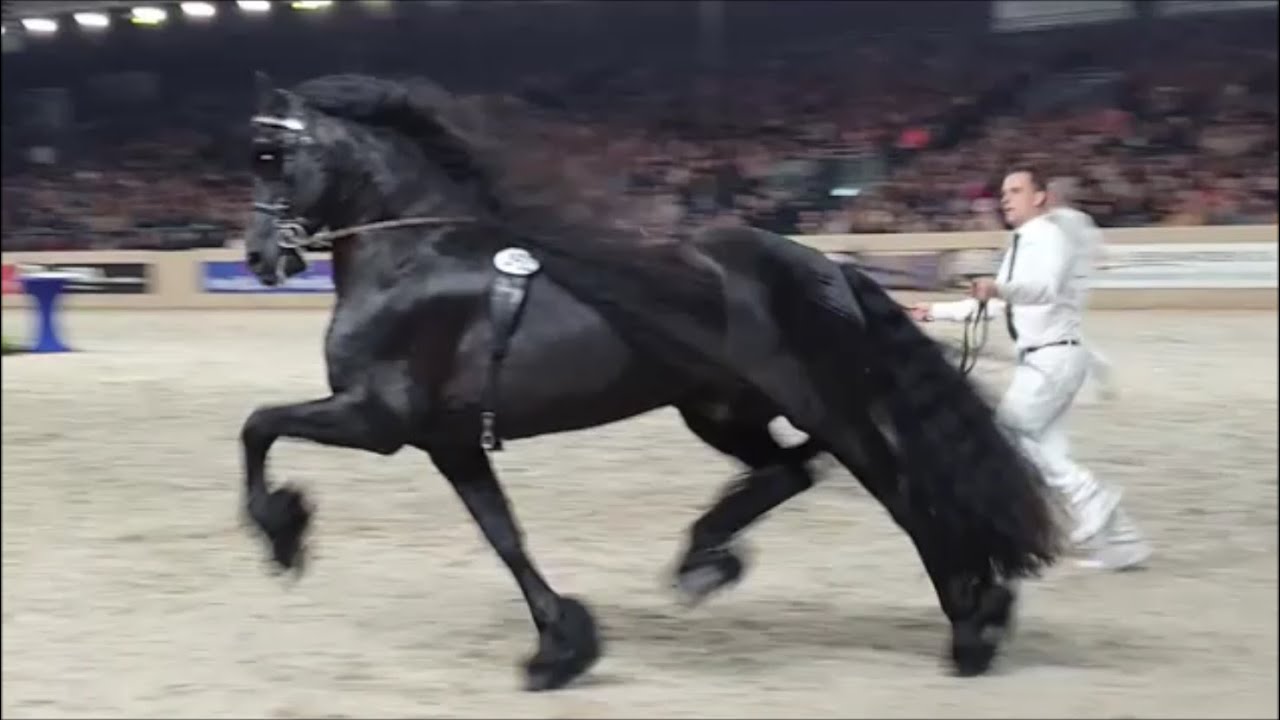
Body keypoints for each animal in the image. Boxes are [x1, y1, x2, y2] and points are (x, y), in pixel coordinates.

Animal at [238, 72, 1063, 691]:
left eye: (271, 156)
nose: (258, 257)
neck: (413, 257)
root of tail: (827, 267)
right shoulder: (451, 443)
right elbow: (504, 536)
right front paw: (560, 650)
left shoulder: (376, 419)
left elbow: (258, 424)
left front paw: (283, 531)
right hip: (722, 410)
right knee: (791, 473)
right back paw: (706, 558)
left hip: (823, 407)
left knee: (899, 491)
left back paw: (973, 624)